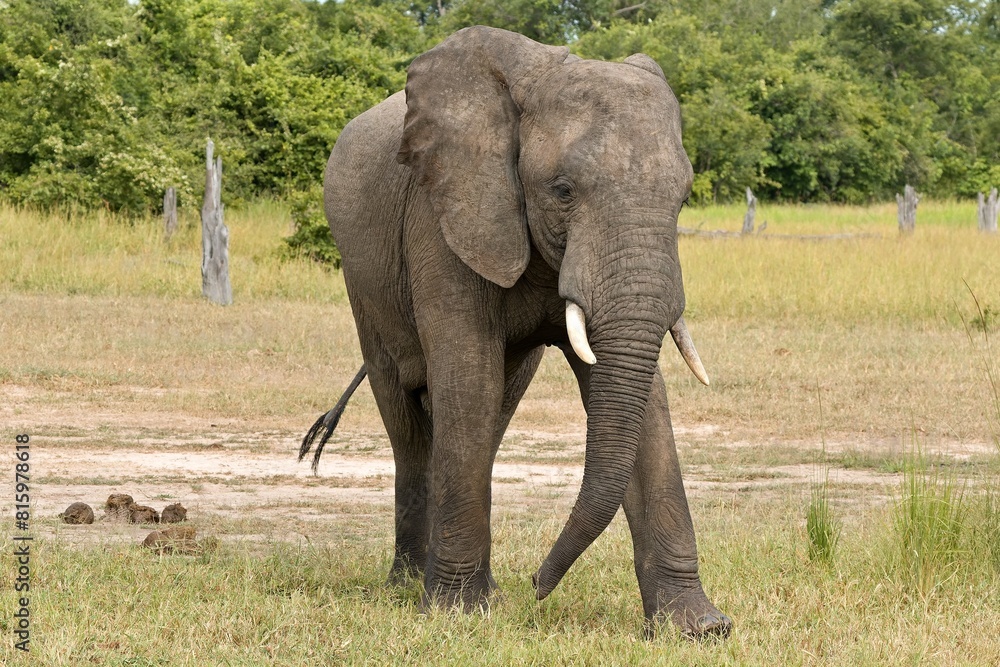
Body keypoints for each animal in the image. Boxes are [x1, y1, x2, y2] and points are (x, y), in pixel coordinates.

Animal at [301, 26, 731, 638]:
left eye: (683, 196)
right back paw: (411, 585)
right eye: (563, 189)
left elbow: (646, 403)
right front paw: (457, 612)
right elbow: (466, 378)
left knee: (494, 412)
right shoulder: (446, 213)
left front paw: (698, 628)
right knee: (409, 417)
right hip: (362, 279)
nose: (538, 585)